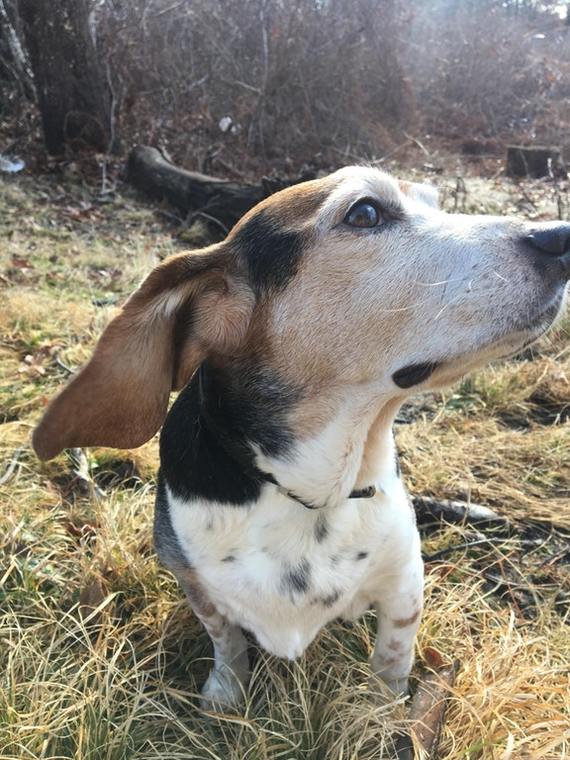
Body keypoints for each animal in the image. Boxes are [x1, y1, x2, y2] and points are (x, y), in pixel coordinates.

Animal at [34, 165, 568, 708]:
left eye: (434, 203)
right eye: (366, 212)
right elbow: (225, 638)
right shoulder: (195, 584)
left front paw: (384, 710)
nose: (560, 234)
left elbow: (393, 657)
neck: (314, 489)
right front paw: (227, 692)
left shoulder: (404, 585)